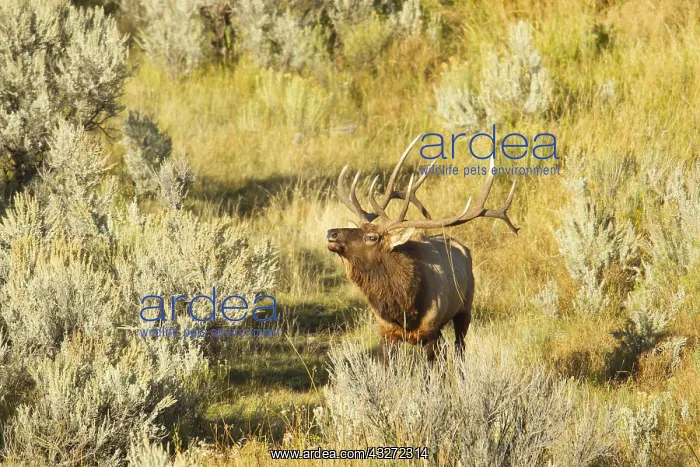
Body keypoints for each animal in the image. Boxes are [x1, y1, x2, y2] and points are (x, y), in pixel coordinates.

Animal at [326, 134, 519, 362]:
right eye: (358, 226)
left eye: (372, 237)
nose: (332, 233)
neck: (404, 309)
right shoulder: (386, 332)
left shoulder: (430, 330)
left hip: (466, 307)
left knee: (459, 348)